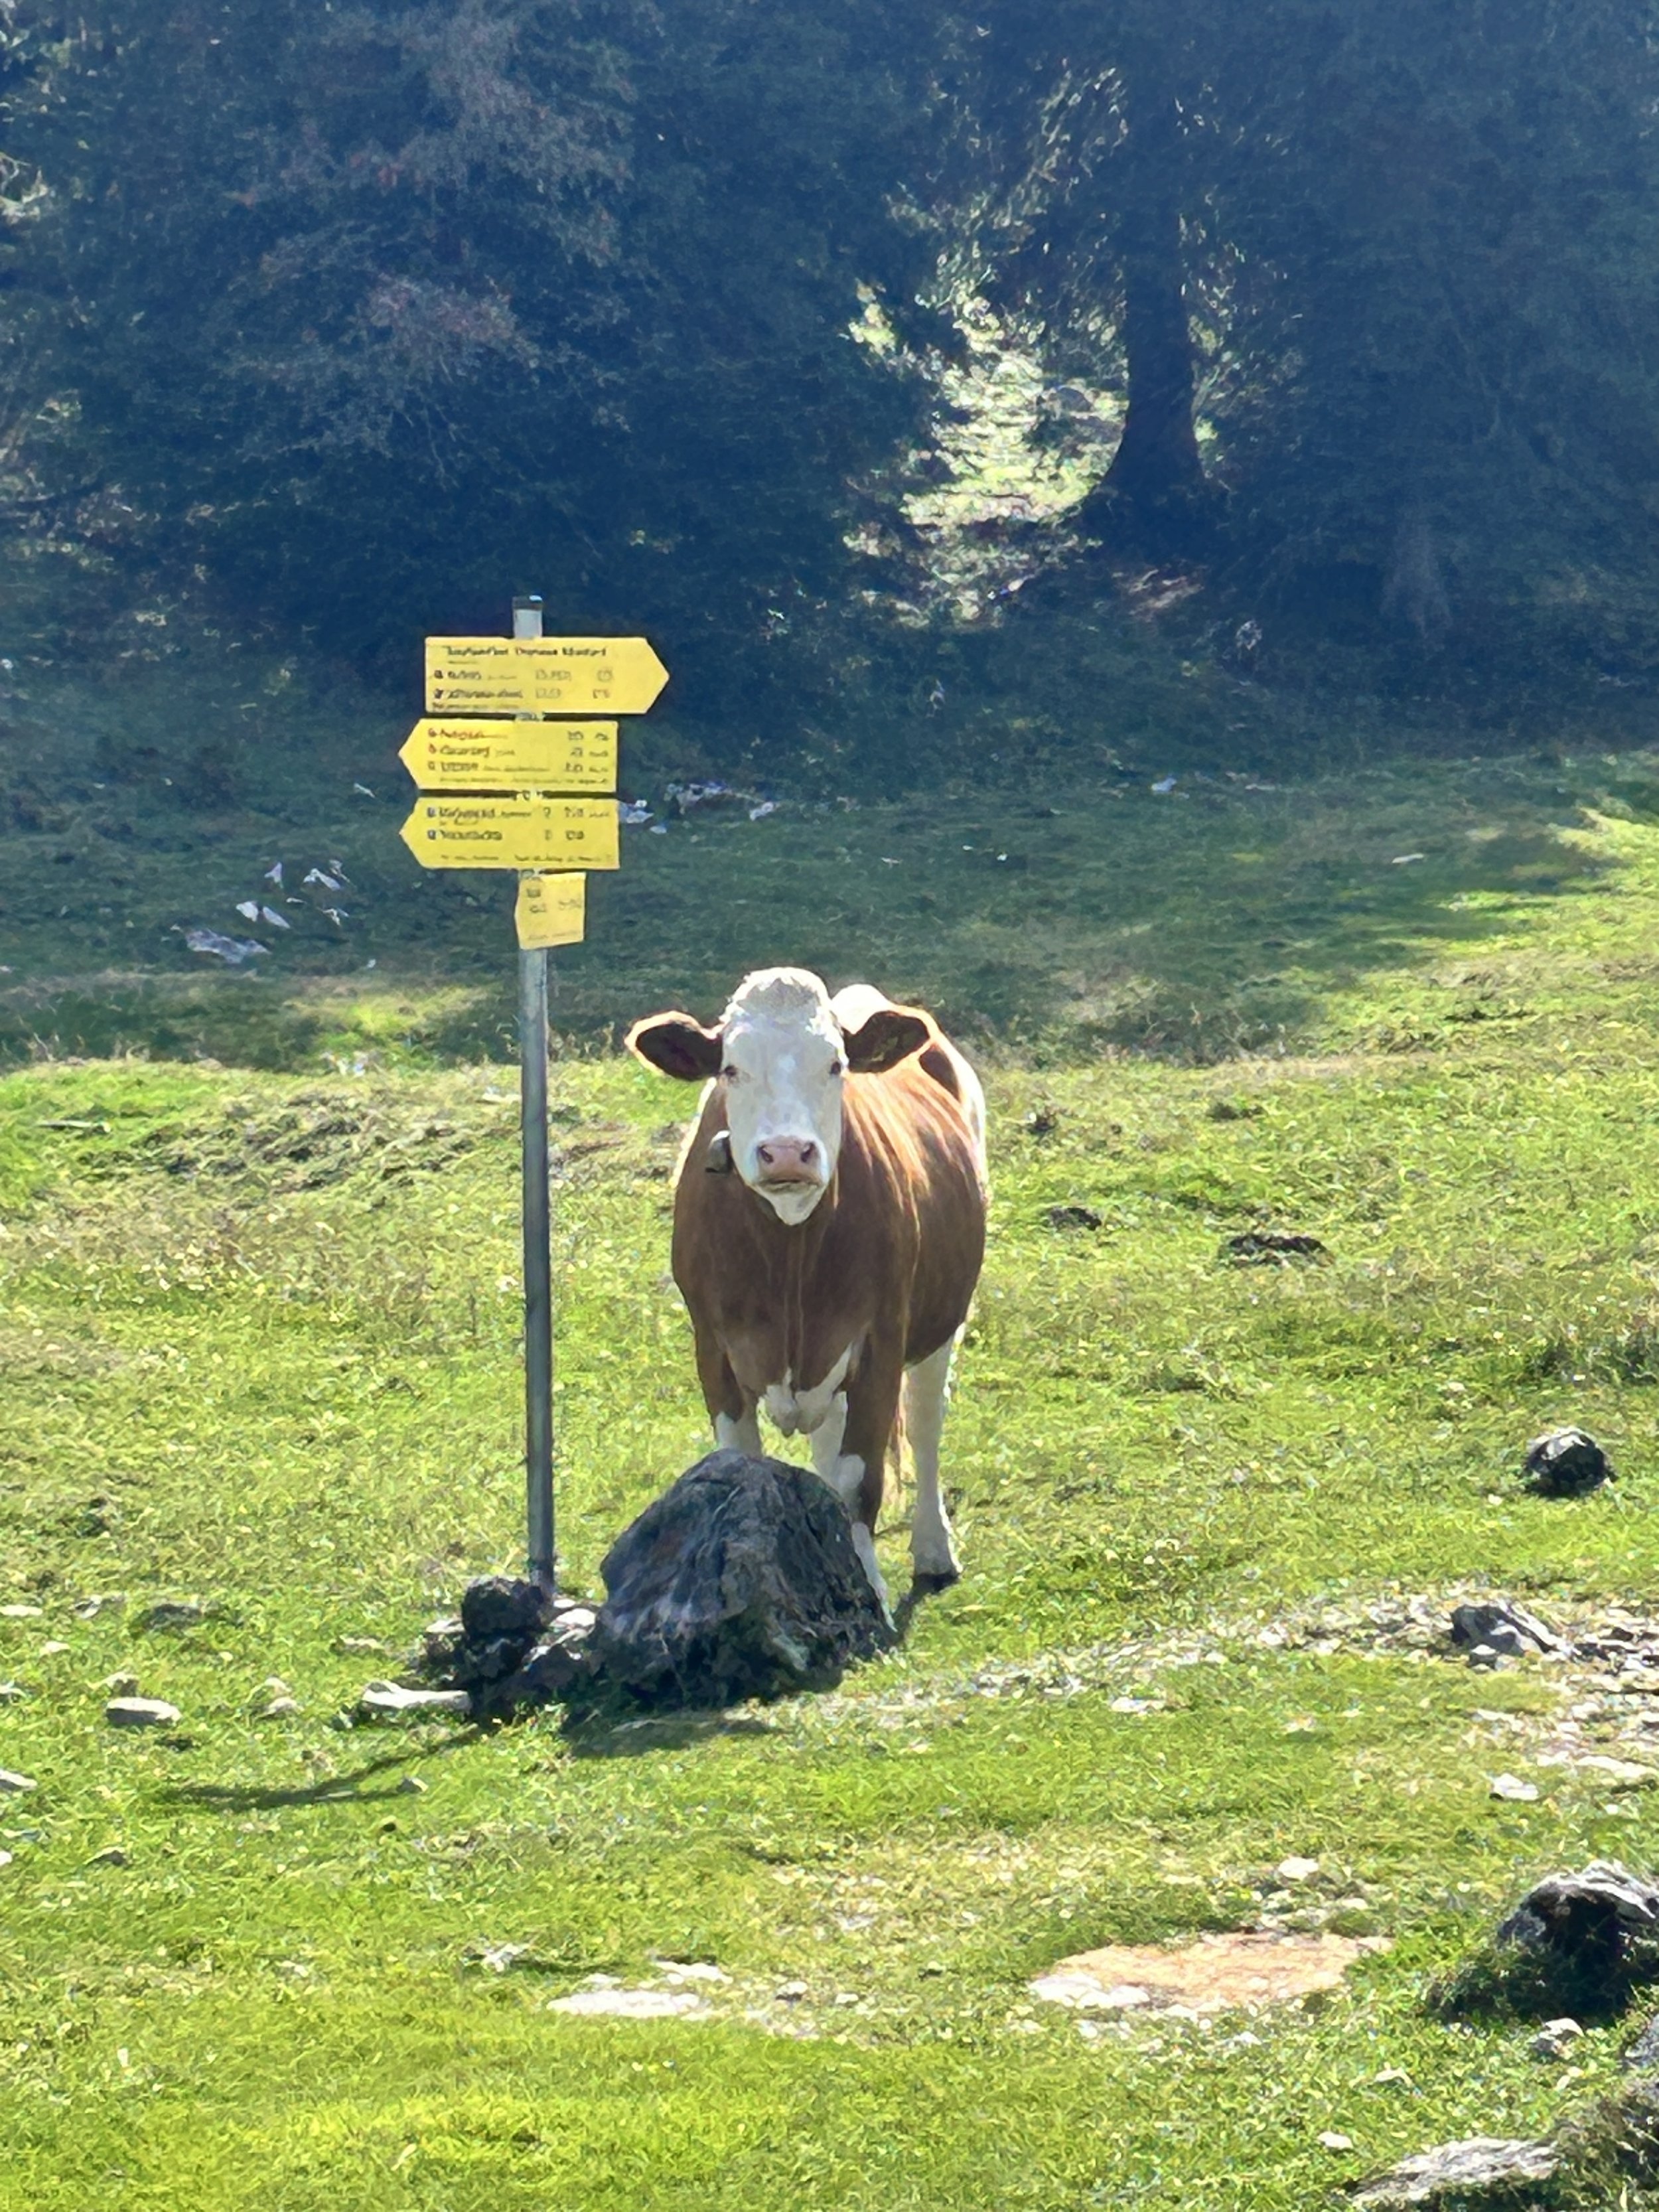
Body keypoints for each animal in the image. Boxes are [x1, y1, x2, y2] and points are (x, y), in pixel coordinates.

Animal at [626, 967, 988, 1606]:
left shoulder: (879, 1342)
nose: (788, 1152)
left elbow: (858, 1479)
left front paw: (867, 1591)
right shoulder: (713, 1345)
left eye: (835, 1064)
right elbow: (739, 1464)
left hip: (943, 1320)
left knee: (925, 1424)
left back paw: (934, 1550)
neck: (789, 1254)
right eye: (731, 1068)